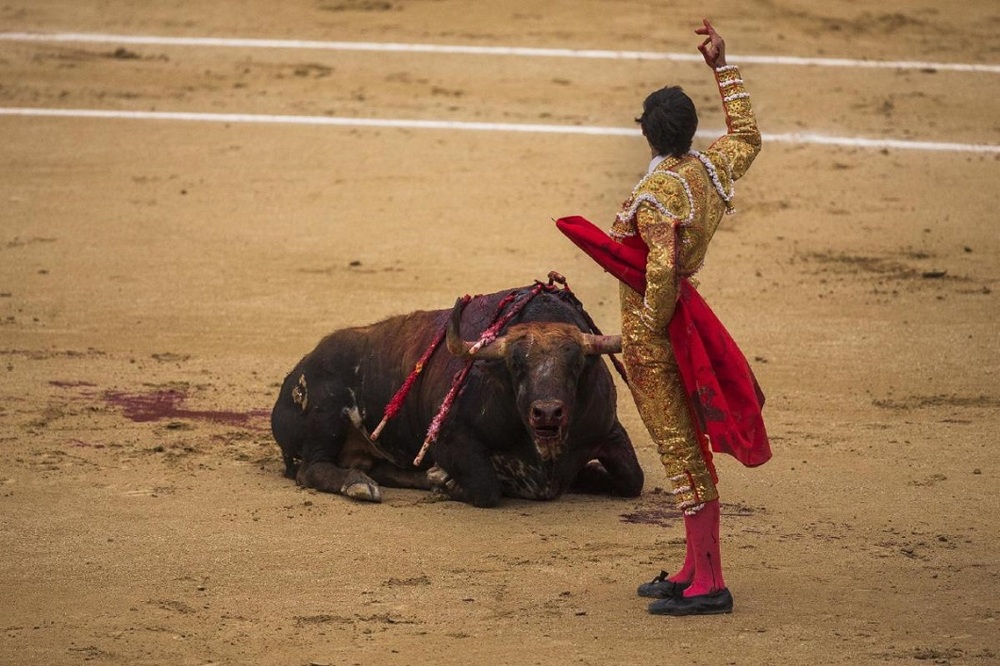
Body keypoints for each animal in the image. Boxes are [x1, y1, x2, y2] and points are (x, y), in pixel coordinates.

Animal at [270, 278, 644, 504]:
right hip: (325, 417)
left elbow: (633, 479)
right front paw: (445, 480)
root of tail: (293, 376)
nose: (547, 412)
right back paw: (360, 485)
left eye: (576, 363)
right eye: (515, 364)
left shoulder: (609, 430)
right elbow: (485, 486)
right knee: (312, 468)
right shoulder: (451, 440)